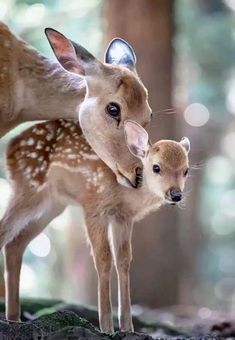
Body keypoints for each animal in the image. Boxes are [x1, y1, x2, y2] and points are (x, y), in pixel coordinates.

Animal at [0, 119, 190, 332]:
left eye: (186, 170)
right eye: (156, 167)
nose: (176, 195)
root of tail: (10, 146)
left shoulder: (123, 217)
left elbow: (123, 260)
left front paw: (127, 327)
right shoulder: (93, 206)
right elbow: (103, 258)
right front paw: (106, 327)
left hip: (53, 204)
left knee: (14, 244)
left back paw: (14, 318)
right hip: (28, 187)